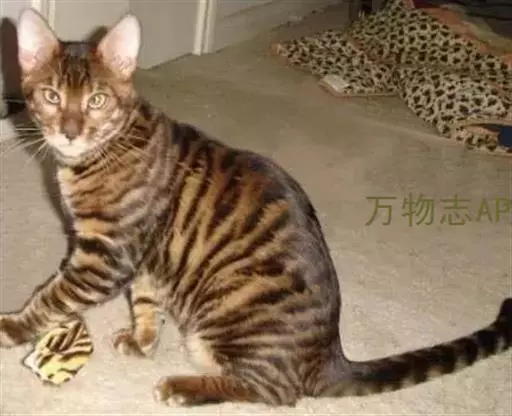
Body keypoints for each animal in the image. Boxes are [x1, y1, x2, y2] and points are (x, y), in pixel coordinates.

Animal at [0, 8, 511, 407]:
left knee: (276, 392)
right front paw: (143, 343)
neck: (98, 153)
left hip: (227, 323)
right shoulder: (142, 257)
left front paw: (13, 326)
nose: (69, 131)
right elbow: (145, 303)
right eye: (51, 96)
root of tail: (328, 354)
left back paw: (185, 387)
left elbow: (52, 296)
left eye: (97, 100)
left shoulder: (104, 255)